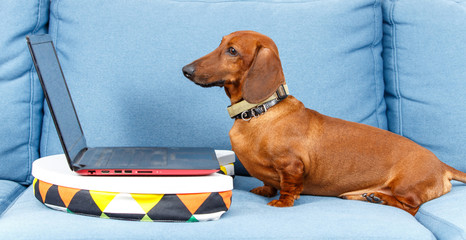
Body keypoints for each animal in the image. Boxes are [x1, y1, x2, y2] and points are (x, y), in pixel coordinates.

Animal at [181, 30, 466, 216]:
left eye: (232, 51)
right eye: (220, 44)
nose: (186, 70)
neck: (260, 112)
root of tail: (442, 165)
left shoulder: (292, 165)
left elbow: (288, 187)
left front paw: (282, 202)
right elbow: (270, 183)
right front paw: (264, 189)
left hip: (406, 187)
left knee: (412, 206)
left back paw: (380, 199)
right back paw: (368, 195)